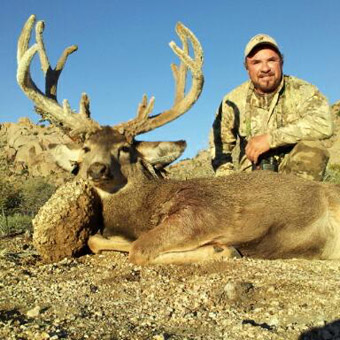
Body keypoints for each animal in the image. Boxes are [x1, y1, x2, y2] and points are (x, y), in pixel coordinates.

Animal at [17, 15, 340, 266]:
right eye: (86, 148)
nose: (97, 169)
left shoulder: (199, 213)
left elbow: (139, 249)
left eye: (125, 149)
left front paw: (222, 250)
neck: (141, 210)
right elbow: (97, 240)